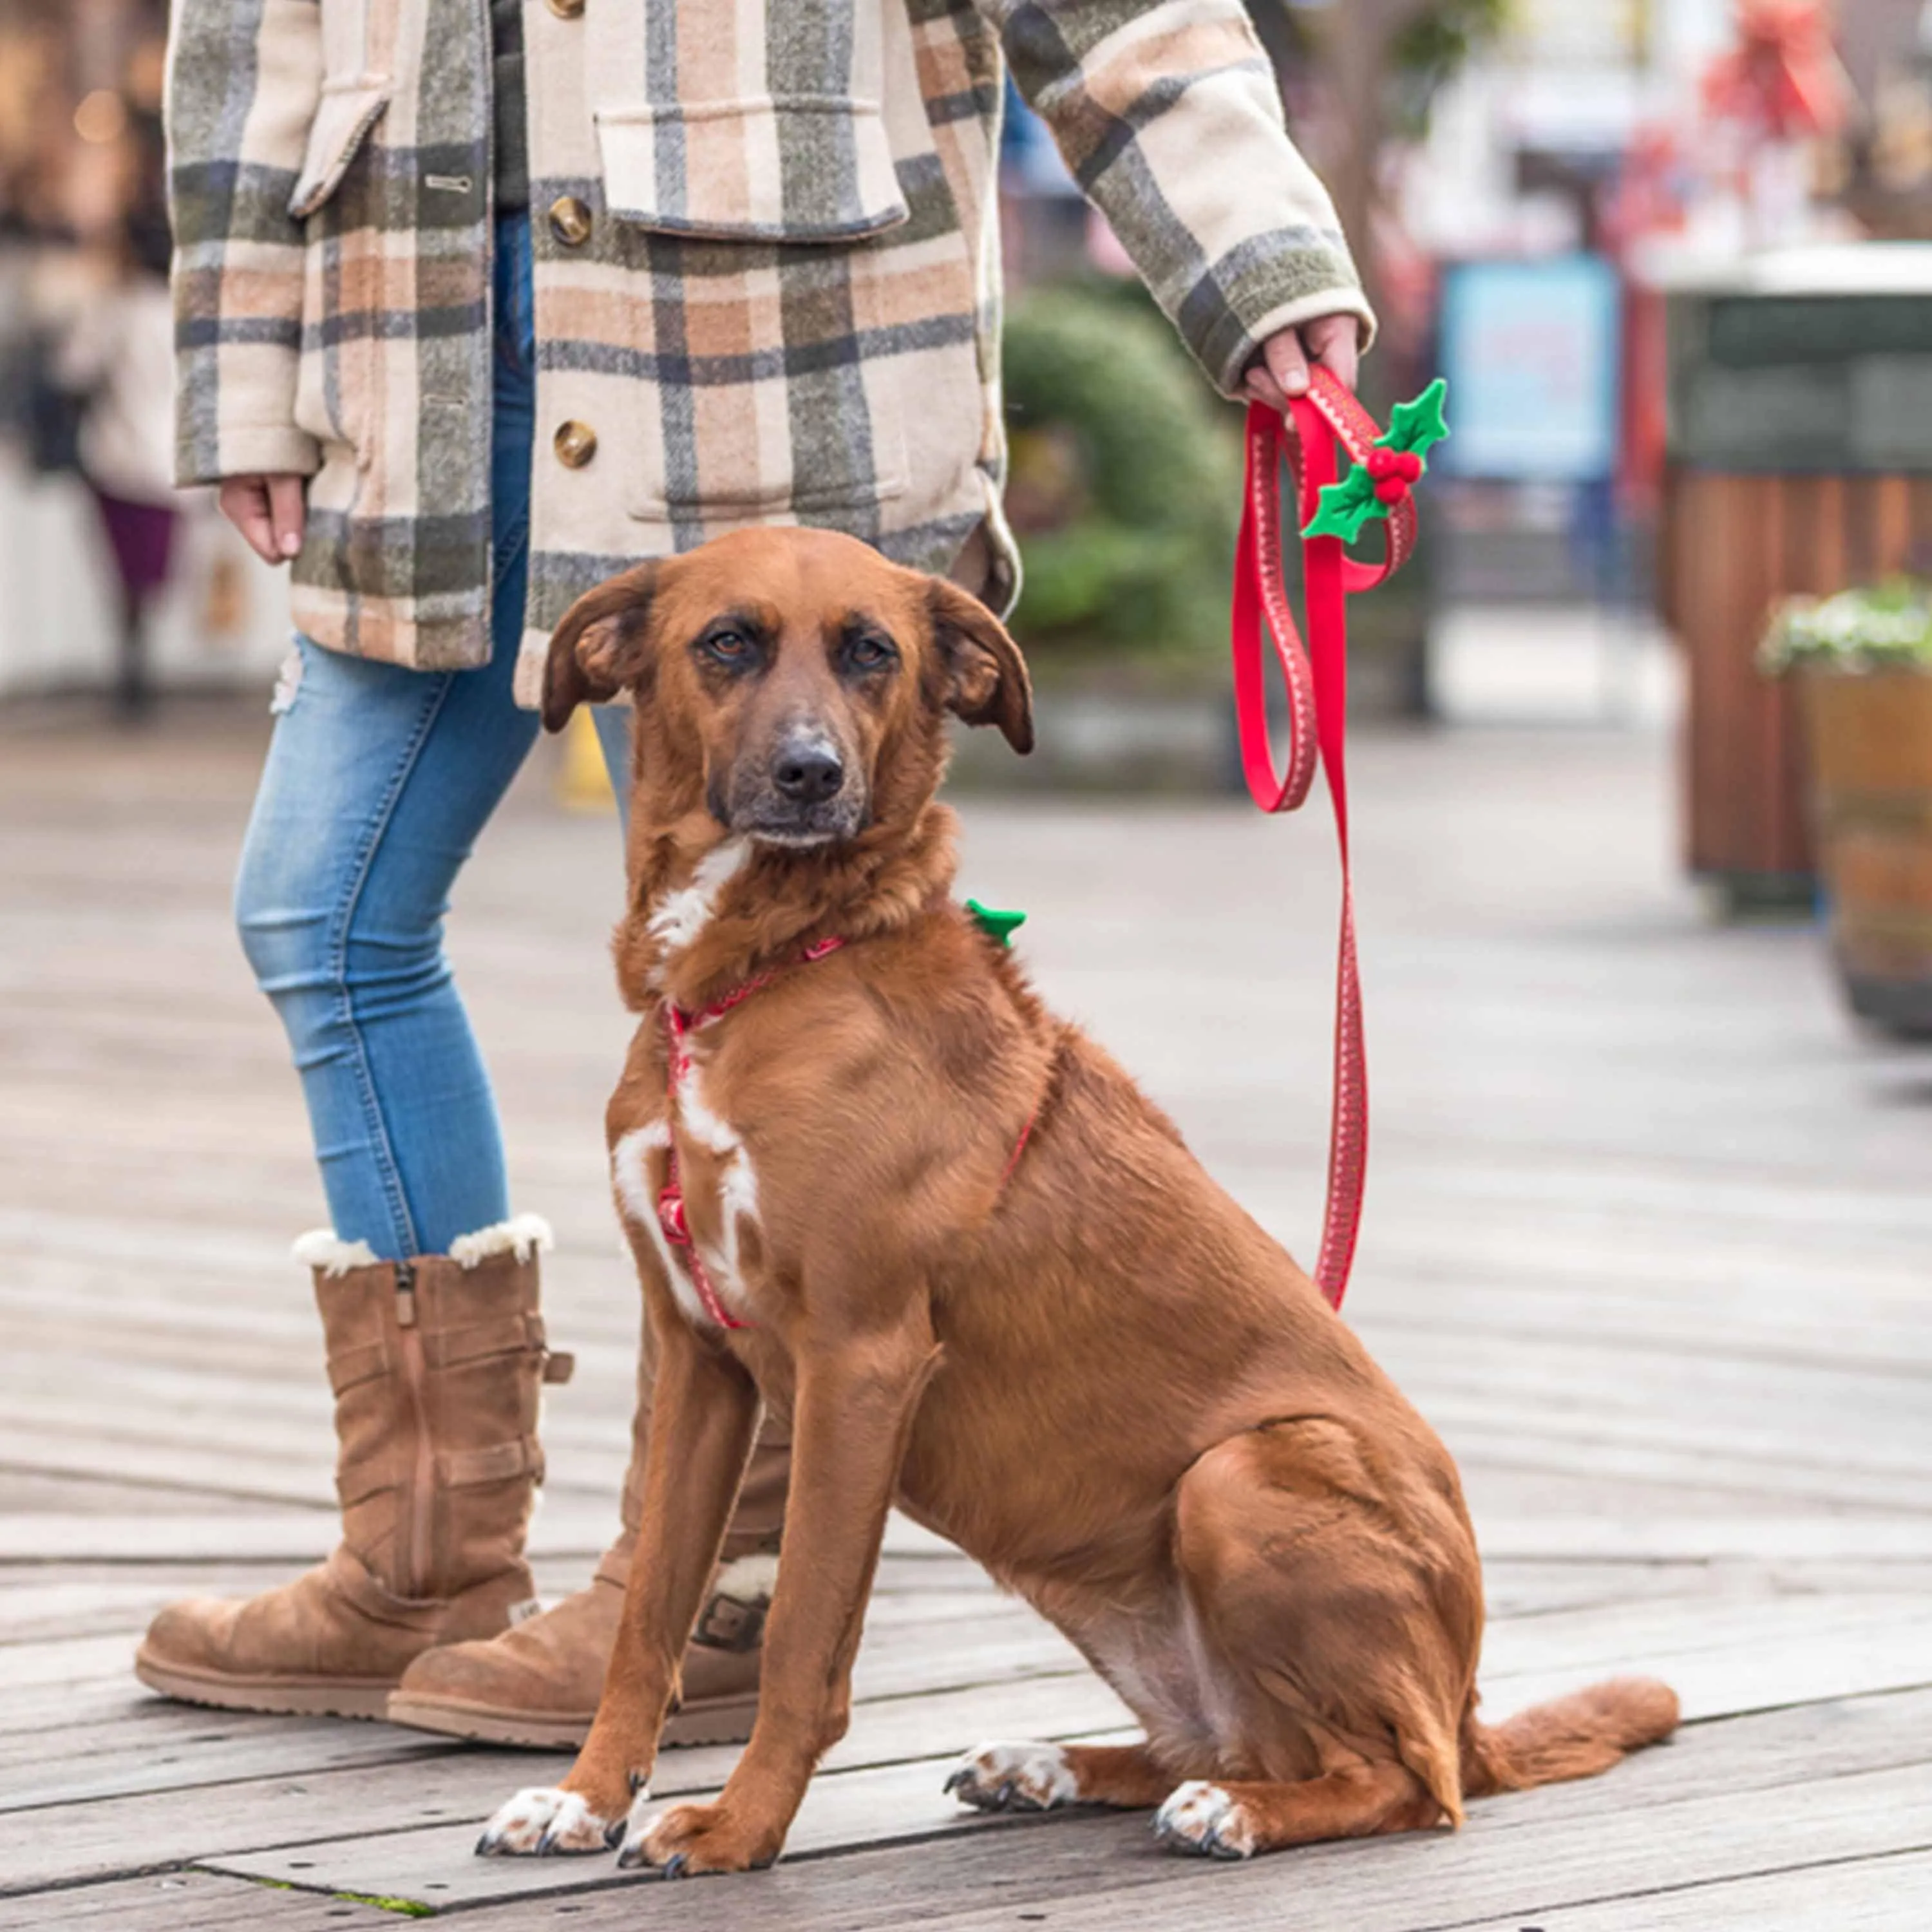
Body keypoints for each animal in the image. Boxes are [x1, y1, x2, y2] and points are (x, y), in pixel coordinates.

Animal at [471, 529, 1677, 1870]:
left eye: (871, 651)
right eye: (727, 641)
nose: (811, 776)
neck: (759, 981)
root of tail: (1471, 1705)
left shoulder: (860, 1361)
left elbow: (801, 1639)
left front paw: (738, 1828)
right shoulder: (698, 1359)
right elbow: (649, 1615)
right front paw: (584, 1795)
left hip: (1240, 1477)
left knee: (1408, 1783)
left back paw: (1233, 1814)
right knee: (1246, 1742)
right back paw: (1056, 1766)